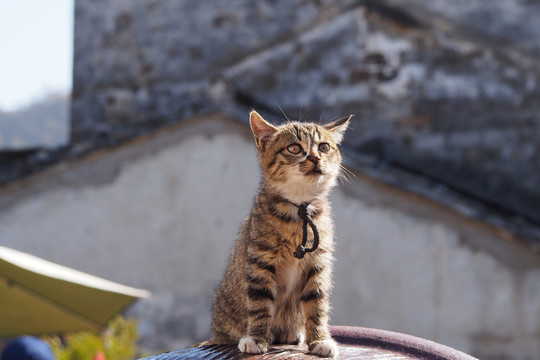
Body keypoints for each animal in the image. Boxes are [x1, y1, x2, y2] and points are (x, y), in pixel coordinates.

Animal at [211, 109, 350, 358]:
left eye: (324, 147)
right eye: (294, 148)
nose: (315, 158)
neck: (299, 212)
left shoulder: (318, 264)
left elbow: (317, 305)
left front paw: (320, 339)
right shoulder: (260, 261)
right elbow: (259, 303)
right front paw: (256, 338)